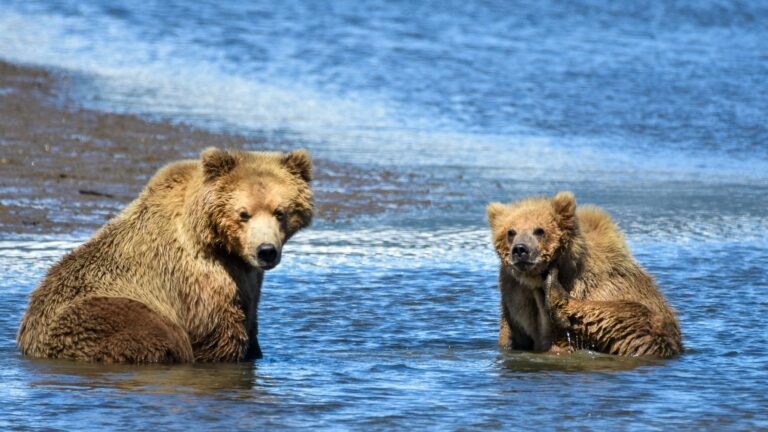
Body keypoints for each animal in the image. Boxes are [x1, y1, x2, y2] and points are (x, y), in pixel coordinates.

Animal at [17, 147, 313, 363]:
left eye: (280, 211)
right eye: (243, 213)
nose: (266, 251)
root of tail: (28, 340)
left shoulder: (248, 279)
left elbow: (251, 322)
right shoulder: (198, 280)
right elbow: (219, 336)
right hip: (105, 312)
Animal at [486, 191, 682, 358]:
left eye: (539, 230)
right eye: (511, 232)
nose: (520, 250)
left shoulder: (594, 285)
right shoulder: (515, 300)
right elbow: (510, 338)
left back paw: (555, 292)